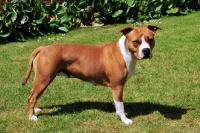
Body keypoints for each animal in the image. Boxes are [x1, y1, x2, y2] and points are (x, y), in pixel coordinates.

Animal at [21, 24, 159, 124]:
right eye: (136, 42)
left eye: (150, 40)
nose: (146, 51)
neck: (125, 52)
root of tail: (43, 48)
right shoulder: (118, 86)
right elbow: (121, 106)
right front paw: (125, 120)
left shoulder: (116, 87)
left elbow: (116, 102)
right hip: (44, 79)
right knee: (32, 97)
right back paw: (32, 117)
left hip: (41, 79)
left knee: (33, 94)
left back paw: (35, 110)